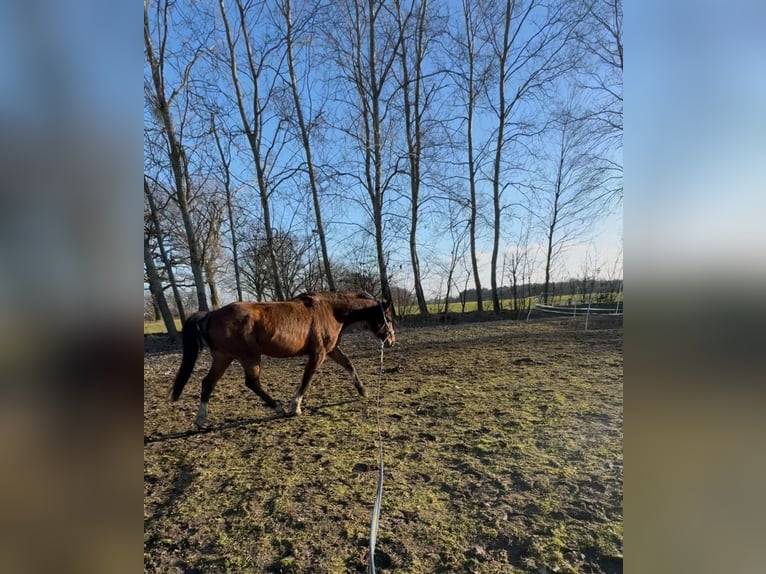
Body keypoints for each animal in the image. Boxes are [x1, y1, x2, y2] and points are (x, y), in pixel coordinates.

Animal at [168, 292, 396, 432]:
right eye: (388, 317)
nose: (391, 341)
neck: (330, 310)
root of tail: (211, 314)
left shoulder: (331, 350)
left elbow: (348, 364)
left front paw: (363, 391)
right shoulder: (318, 354)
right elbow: (307, 379)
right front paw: (295, 407)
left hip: (223, 357)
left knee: (208, 383)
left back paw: (200, 421)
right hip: (249, 357)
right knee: (251, 383)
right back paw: (278, 408)